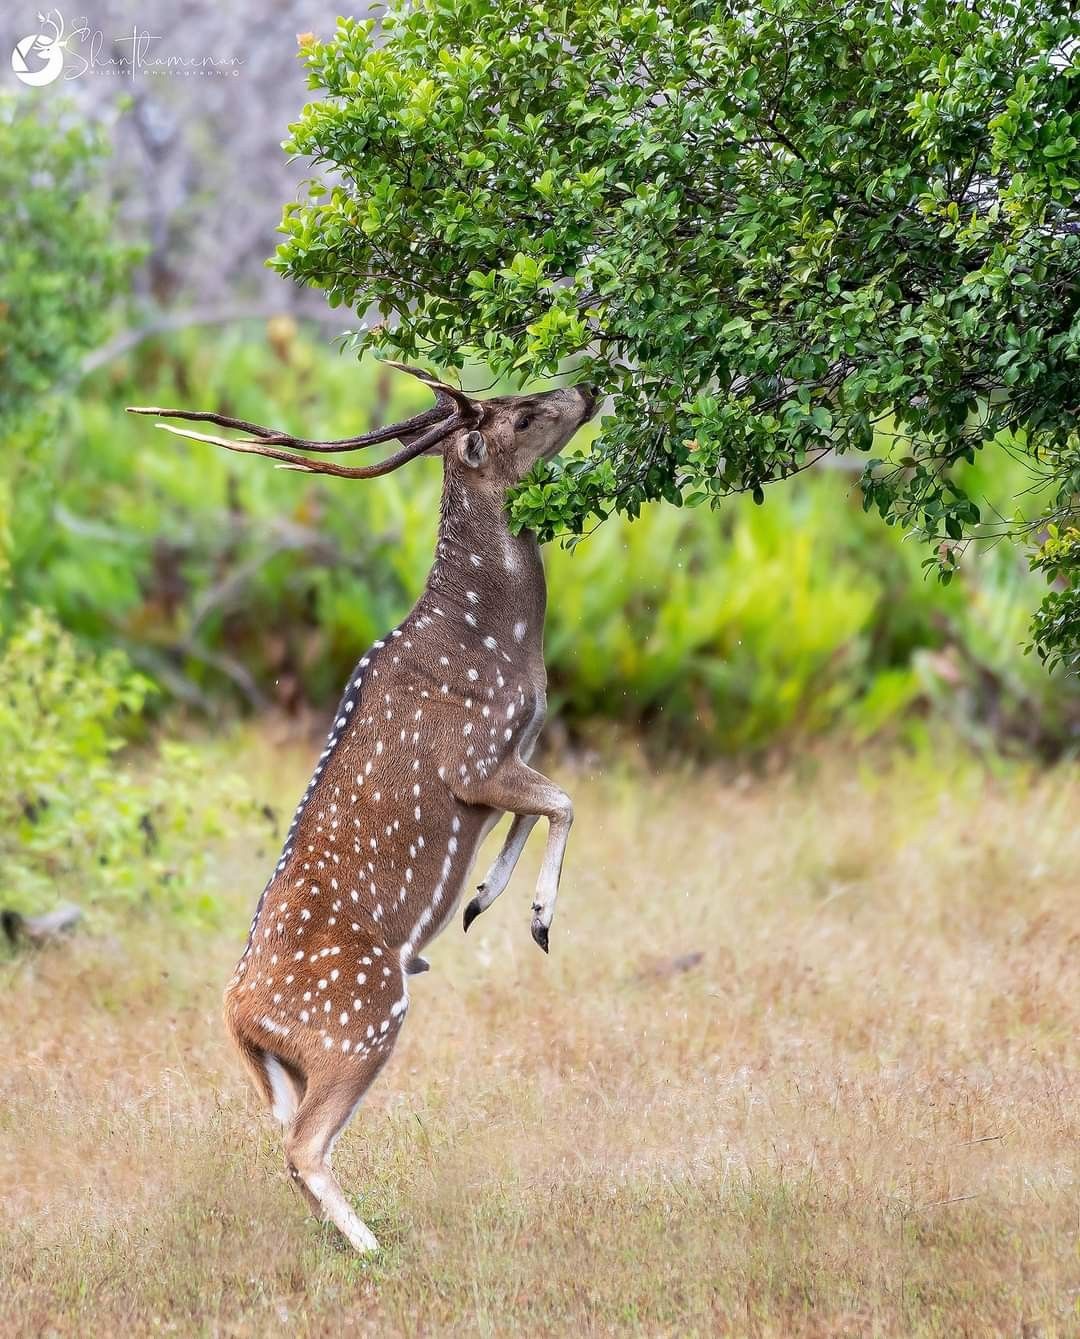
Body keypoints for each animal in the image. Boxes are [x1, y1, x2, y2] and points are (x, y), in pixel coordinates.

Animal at [127, 364, 597, 1253]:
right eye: (521, 414)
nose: (585, 388)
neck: (505, 645)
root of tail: (238, 1015)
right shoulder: (476, 756)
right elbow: (564, 801)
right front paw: (538, 917)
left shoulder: (510, 752)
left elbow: (538, 807)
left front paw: (483, 900)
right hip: (362, 1017)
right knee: (304, 1145)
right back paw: (374, 1248)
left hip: (292, 1061)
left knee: (286, 1135)